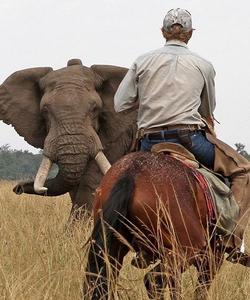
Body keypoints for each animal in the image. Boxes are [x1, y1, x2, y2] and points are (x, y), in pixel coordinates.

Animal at [84, 152, 225, 300]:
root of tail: (130, 173)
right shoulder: (213, 257)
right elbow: (200, 288)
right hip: (188, 248)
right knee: (152, 281)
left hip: (114, 247)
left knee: (100, 279)